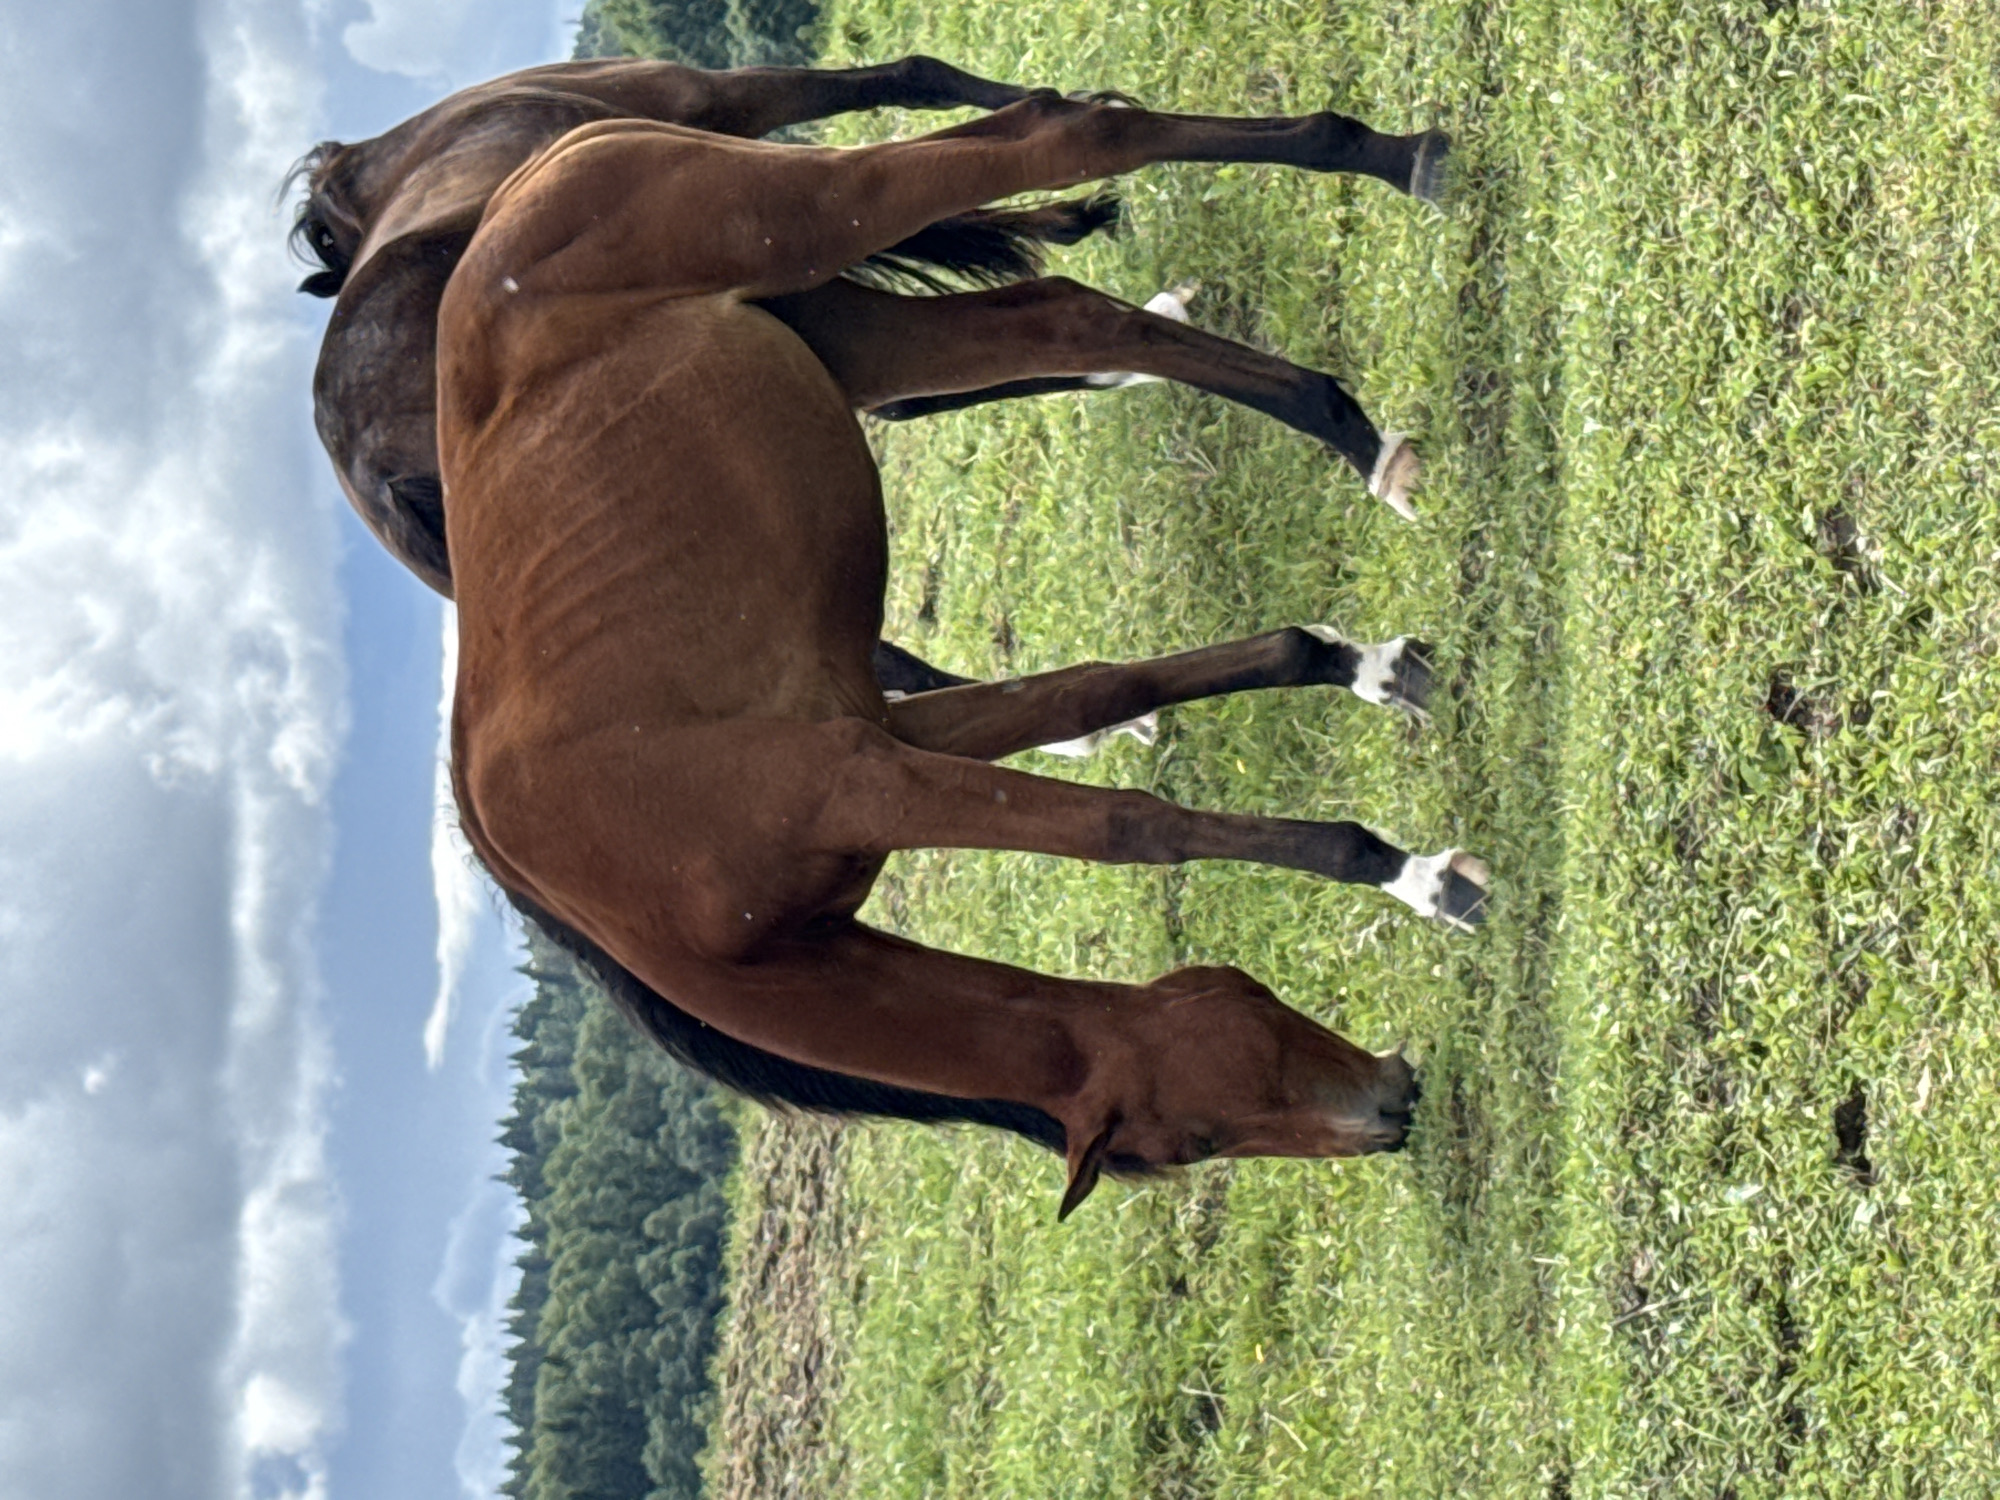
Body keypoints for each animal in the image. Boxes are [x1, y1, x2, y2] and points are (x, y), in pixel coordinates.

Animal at [432, 89, 1487, 1218]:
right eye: (1199, 1139)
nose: (1390, 1108)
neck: (665, 905)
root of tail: (539, 168)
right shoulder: (894, 731)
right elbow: (1099, 693)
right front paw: (1375, 710)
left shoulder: (867, 778)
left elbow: (1128, 827)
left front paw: (1420, 872)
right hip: (864, 336)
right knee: (1063, 306)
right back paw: (1357, 422)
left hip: (815, 221)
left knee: (1066, 137)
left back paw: (1401, 175)